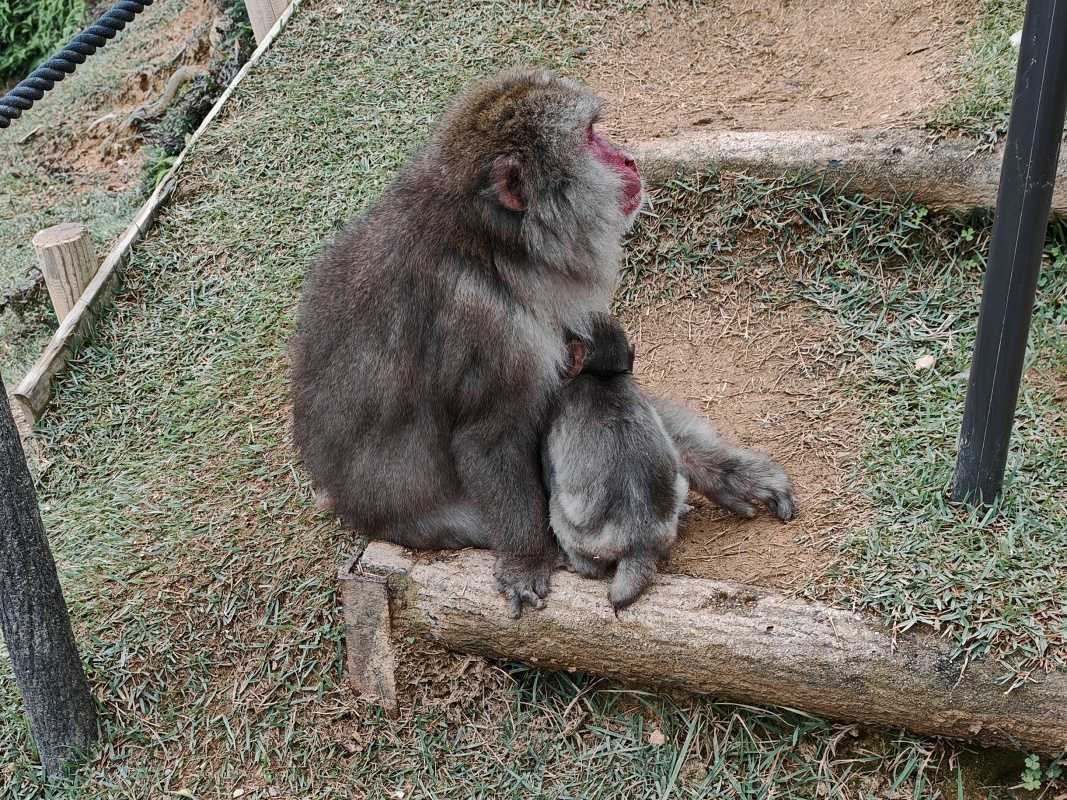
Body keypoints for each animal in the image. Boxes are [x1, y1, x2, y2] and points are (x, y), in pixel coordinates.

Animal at [543, 313, 689, 613]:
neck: (603, 377)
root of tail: (640, 541)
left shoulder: (557, 409)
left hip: (586, 539)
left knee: (558, 509)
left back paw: (579, 566)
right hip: (671, 514)